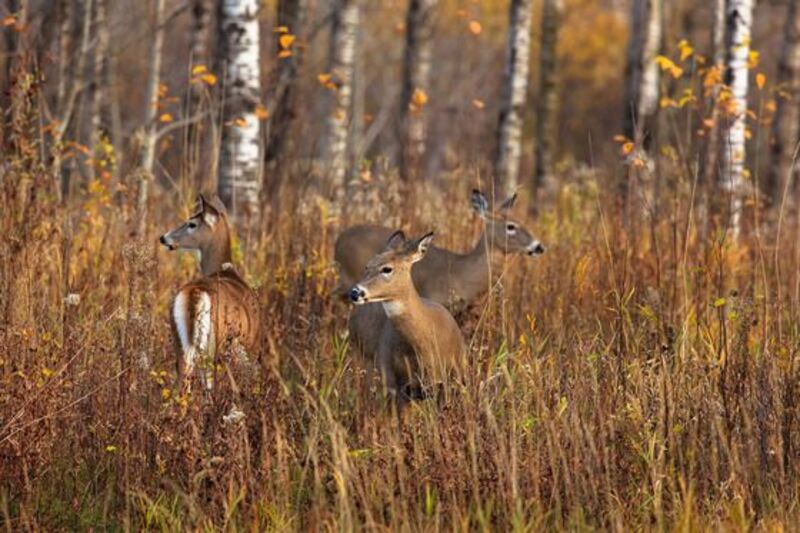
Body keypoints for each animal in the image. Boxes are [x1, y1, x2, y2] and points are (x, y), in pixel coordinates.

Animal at [159, 194, 261, 394]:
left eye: (192, 223)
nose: (163, 238)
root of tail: (195, 293)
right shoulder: (250, 345)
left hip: (181, 342)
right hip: (215, 344)